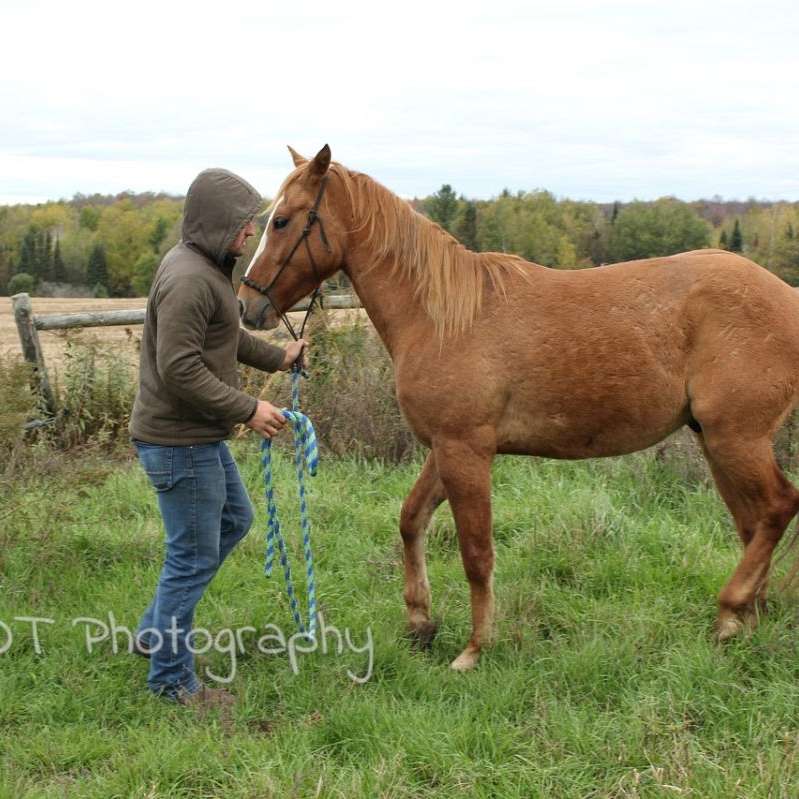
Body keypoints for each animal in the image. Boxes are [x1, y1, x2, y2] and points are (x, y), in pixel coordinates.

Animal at [239, 144, 799, 668]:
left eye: (283, 220)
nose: (248, 305)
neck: (444, 317)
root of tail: (786, 297)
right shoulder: (444, 449)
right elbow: (411, 519)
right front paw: (420, 620)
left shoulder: (465, 451)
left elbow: (476, 553)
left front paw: (475, 648)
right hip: (718, 442)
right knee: (753, 524)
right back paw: (747, 620)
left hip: (736, 439)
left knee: (777, 508)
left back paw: (730, 611)